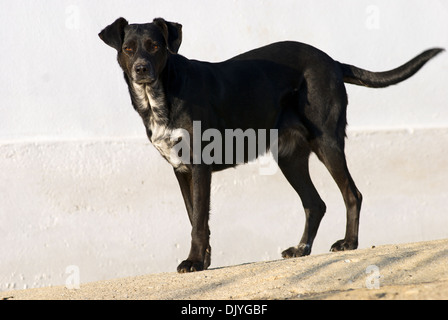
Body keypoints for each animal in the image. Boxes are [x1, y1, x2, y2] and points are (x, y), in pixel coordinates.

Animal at [99, 17, 444, 272]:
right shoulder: (182, 170)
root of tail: (331, 61)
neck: (162, 93)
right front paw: (204, 261)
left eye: (155, 46)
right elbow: (194, 216)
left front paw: (195, 261)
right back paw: (302, 248)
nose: (141, 69)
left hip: (327, 141)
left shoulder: (199, 166)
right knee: (315, 203)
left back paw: (348, 243)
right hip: (289, 157)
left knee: (352, 194)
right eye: (128, 48)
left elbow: (198, 220)